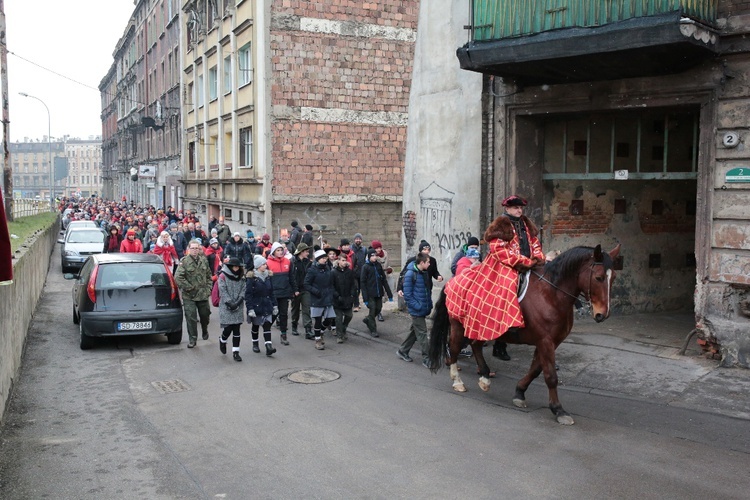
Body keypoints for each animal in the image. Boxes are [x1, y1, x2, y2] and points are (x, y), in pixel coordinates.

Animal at [428, 244, 624, 424]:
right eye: (598, 277)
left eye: (613, 277)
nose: (602, 315)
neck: (551, 294)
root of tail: (453, 280)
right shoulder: (545, 341)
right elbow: (550, 376)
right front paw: (558, 410)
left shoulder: (550, 341)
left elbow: (536, 369)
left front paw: (519, 392)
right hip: (459, 326)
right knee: (453, 350)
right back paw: (458, 381)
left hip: (481, 327)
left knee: (475, 345)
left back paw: (484, 377)